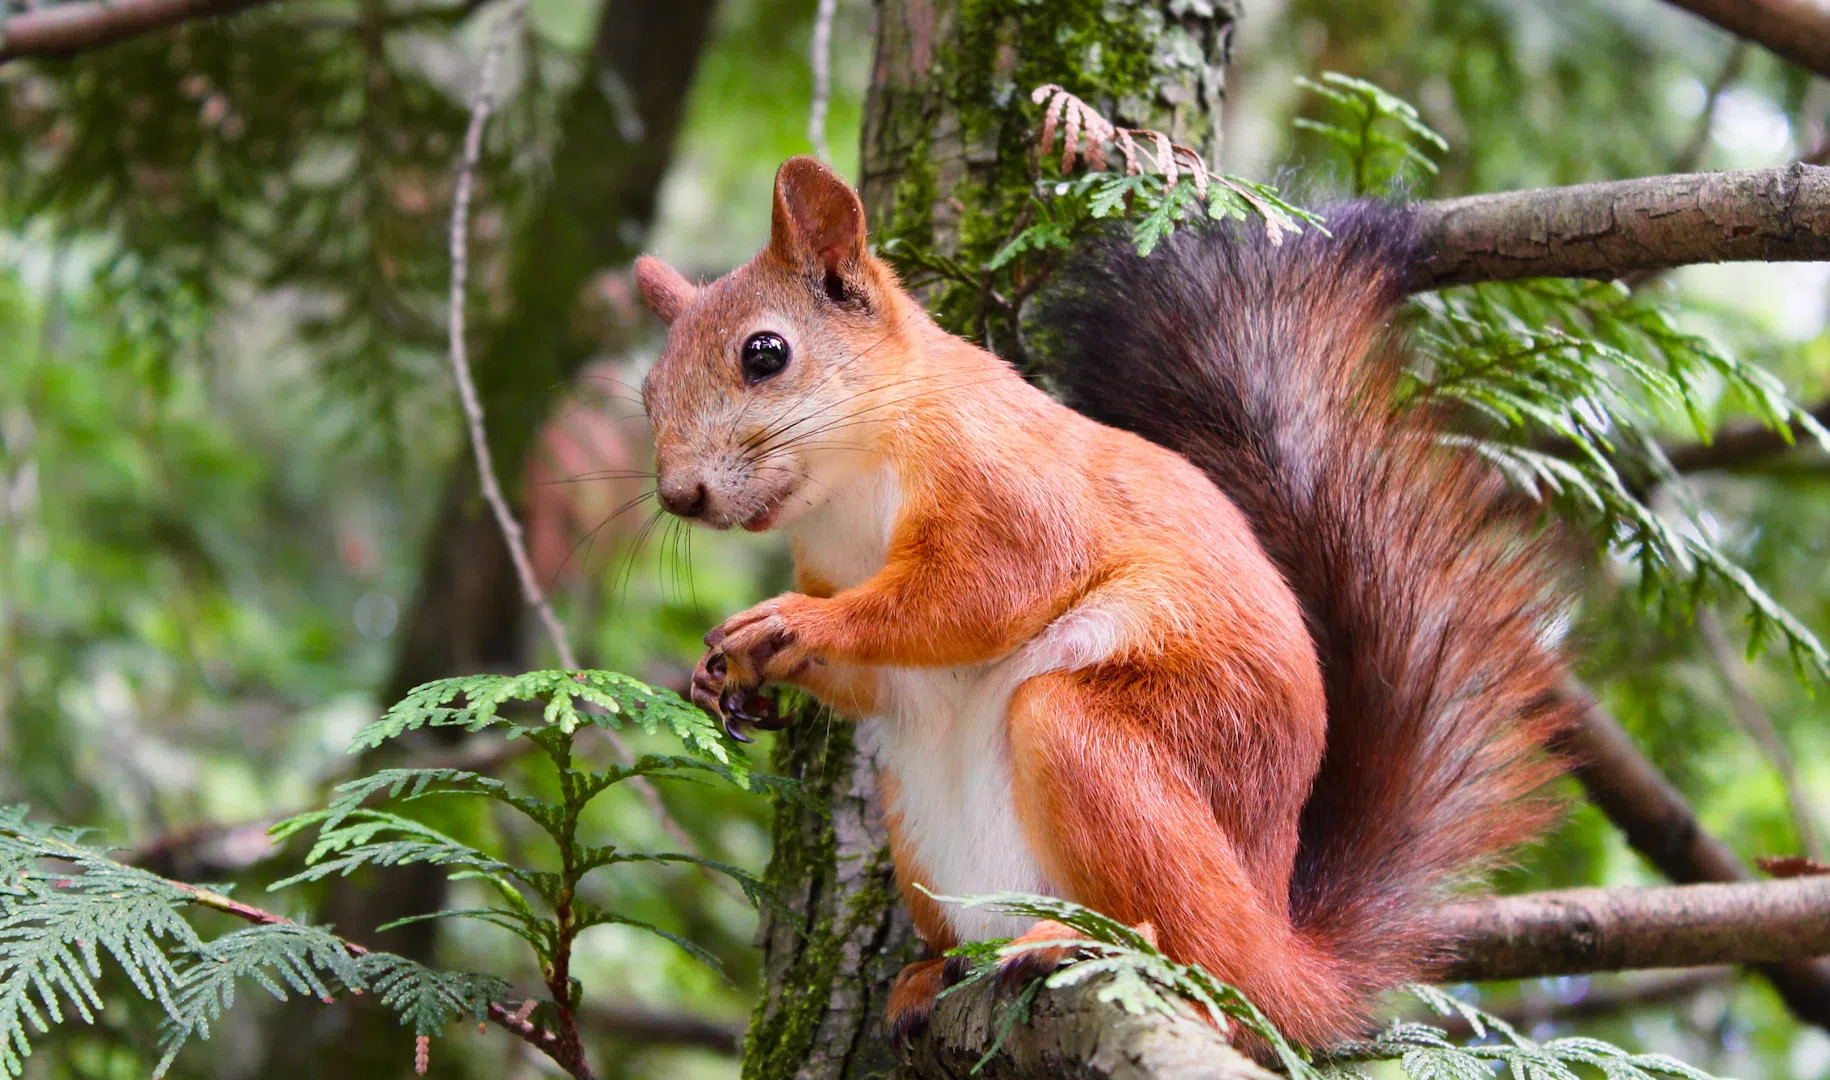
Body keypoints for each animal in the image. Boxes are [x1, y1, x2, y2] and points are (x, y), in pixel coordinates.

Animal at [633, 158, 1573, 1047]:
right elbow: (877, 678)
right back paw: (932, 973)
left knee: (1200, 957)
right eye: (647, 393)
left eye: (765, 354)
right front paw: (727, 678)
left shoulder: (1009, 488)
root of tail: (1284, 953)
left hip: (1103, 745)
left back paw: (1086, 943)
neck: (850, 486)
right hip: (918, 823)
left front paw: (792, 624)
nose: (679, 496)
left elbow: (974, 596)